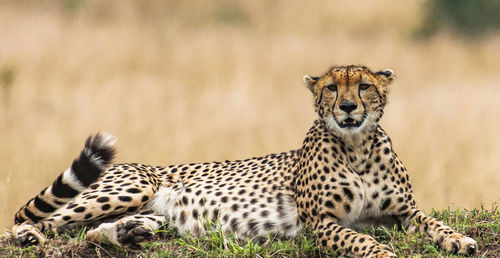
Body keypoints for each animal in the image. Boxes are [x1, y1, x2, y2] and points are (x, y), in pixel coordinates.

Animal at [9, 65, 476, 256]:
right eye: (331, 87)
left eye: (363, 86)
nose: (346, 107)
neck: (356, 145)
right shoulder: (322, 222)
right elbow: (360, 239)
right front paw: (382, 253)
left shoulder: (405, 212)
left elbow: (435, 222)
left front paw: (459, 240)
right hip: (133, 184)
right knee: (33, 221)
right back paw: (30, 236)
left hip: (144, 207)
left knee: (91, 233)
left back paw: (130, 232)